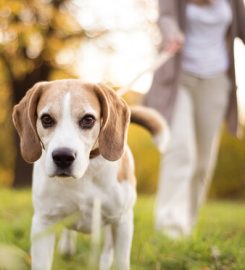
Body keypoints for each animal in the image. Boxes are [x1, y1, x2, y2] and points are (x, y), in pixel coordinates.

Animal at [12, 80, 169, 270]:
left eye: (88, 119)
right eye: (46, 119)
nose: (63, 157)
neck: (86, 171)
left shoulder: (122, 221)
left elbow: (121, 261)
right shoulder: (43, 222)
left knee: (107, 250)